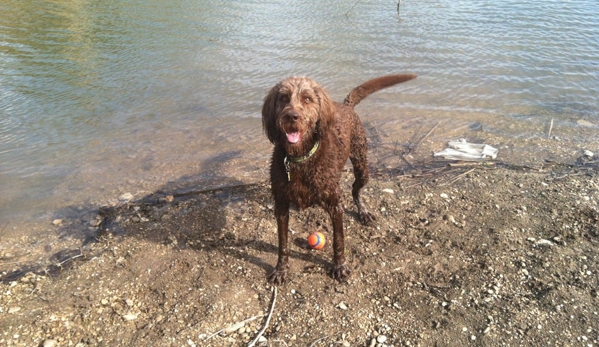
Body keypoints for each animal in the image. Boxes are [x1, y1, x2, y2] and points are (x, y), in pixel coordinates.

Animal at [262, 74, 418, 286]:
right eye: (284, 98)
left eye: (307, 99)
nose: (292, 116)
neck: (301, 158)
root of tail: (346, 106)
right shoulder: (281, 206)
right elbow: (283, 243)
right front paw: (281, 270)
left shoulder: (335, 205)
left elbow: (338, 240)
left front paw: (339, 266)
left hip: (361, 165)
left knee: (355, 190)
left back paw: (363, 212)